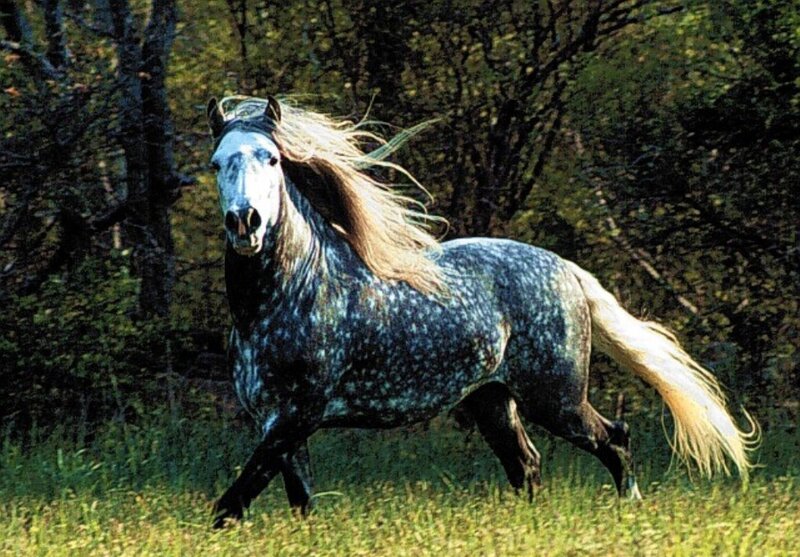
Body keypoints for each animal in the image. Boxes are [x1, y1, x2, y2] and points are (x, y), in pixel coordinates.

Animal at [204, 95, 756, 528]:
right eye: (216, 162)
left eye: (273, 159)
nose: (245, 222)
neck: (290, 296)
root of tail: (567, 269)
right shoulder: (279, 424)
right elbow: (297, 502)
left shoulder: (297, 416)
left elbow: (231, 503)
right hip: (492, 400)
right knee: (527, 465)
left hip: (555, 399)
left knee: (613, 440)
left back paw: (630, 510)